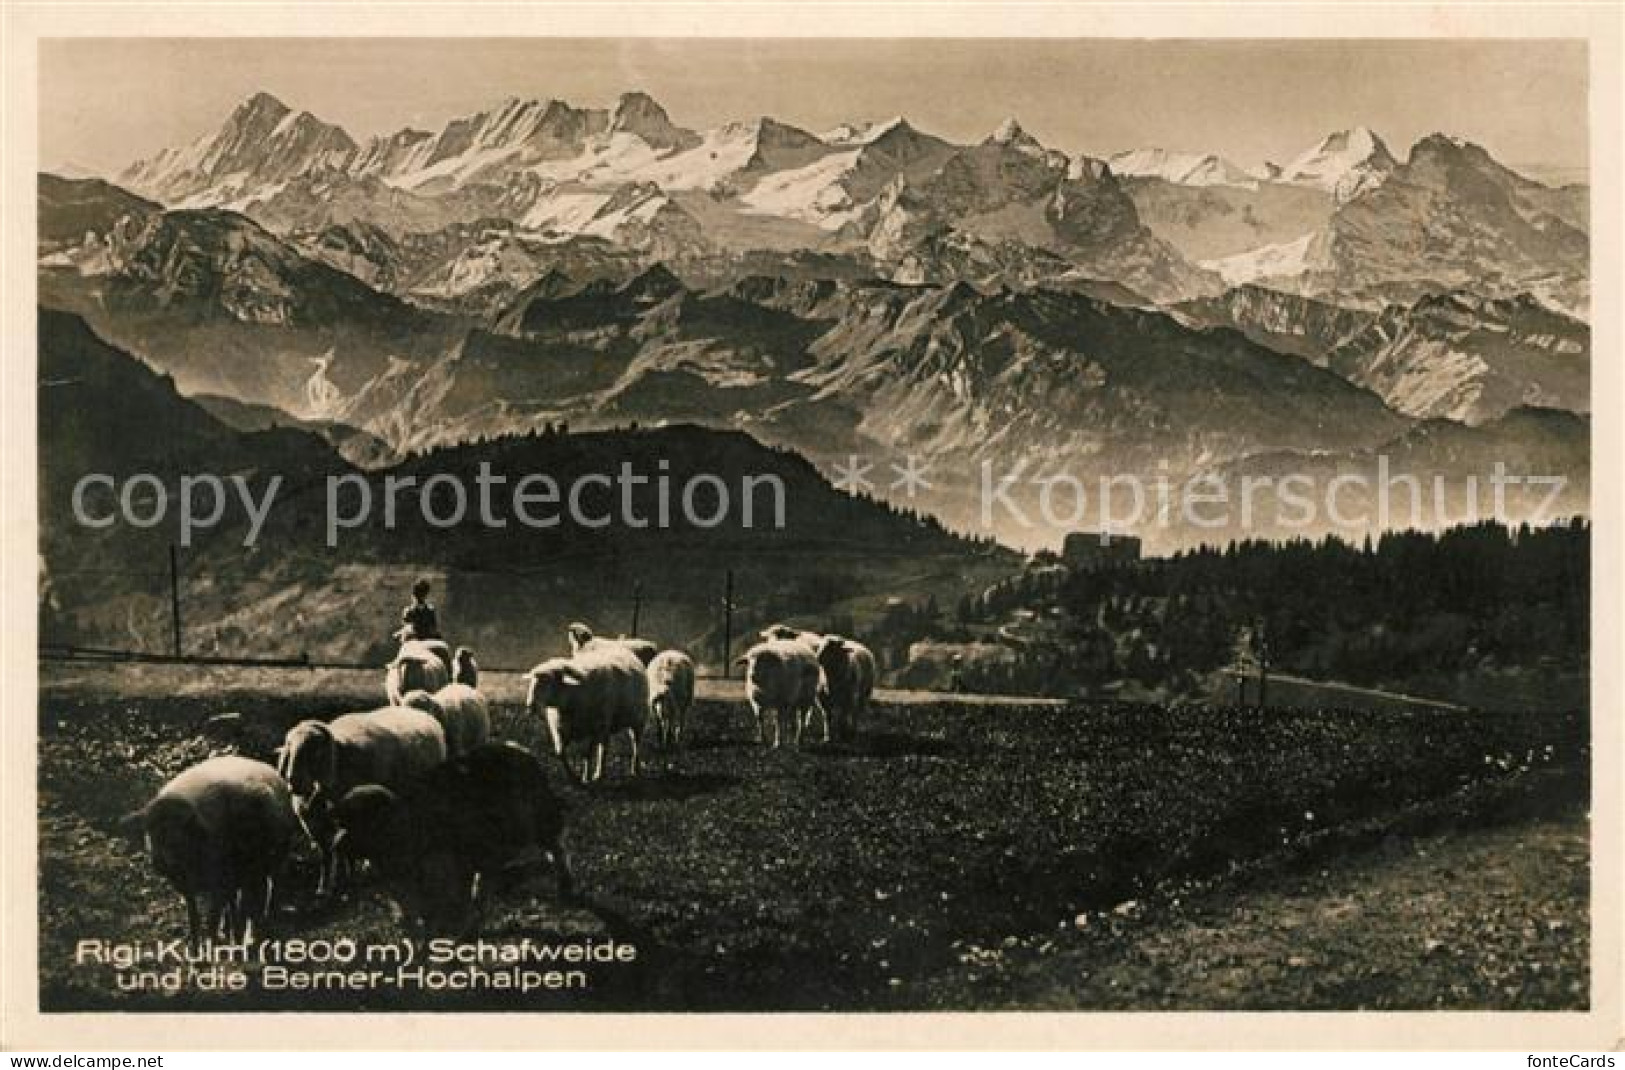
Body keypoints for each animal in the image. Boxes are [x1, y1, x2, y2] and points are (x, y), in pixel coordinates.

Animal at [120, 751, 305, 943]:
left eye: (182, 831)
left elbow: (212, 922)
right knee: (240, 903)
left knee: (268, 892)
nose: (162, 862)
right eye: (150, 830)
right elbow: (194, 920)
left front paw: (213, 944)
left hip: (273, 861)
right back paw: (234, 932)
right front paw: (197, 947)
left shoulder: (219, 883)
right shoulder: (189, 887)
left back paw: (261, 925)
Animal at [326, 741, 575, 936]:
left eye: (362, 821)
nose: (336, 845)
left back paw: (565, 888)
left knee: (558, 848)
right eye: (340, 823)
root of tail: (520, 750)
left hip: (543, 821)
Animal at [523, 637, 643, 780]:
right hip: (606, 726)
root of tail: (617, 646)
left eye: (549, 682)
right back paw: (599, 773)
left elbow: (586, 754)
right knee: (604, 748)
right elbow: (560, 753)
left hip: (637, 720)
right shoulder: (561, 730)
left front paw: (585, 778)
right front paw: (573, 777)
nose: (530, 706)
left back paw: (633, 770)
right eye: (532, 683)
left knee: (635, 744)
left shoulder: (595, 729)